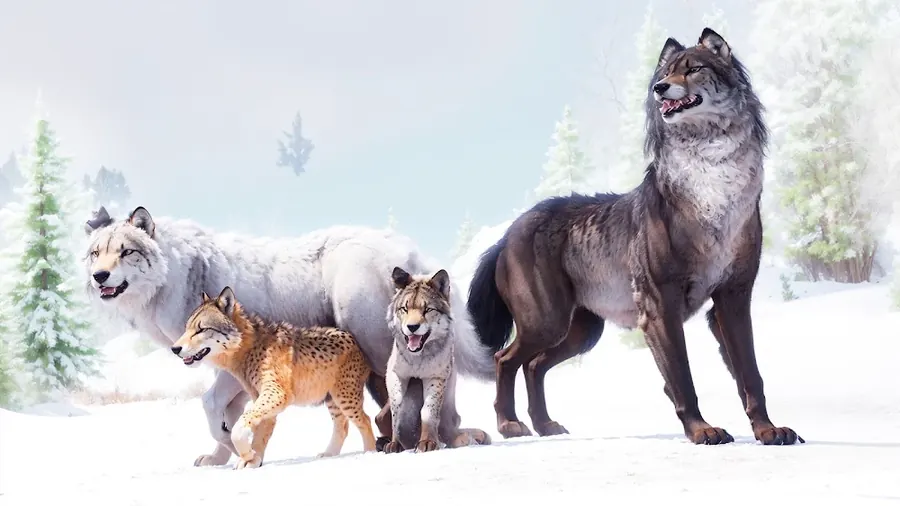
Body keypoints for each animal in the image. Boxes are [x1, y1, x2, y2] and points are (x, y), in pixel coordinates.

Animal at [171, 286, 377, 469]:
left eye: (201, 329)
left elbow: (238, 428)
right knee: (342, 425)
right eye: (187, 329)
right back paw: (329, 454)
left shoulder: (276, 393)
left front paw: (248, 457)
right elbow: (259, 434)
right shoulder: (263, 398)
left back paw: (371, 453)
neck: (247, 348)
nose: (175, 349)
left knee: (365, 420)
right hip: (333, 400)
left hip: (345, 399)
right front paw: (252, 460)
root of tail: (352, 338)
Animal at [382, 267, 492, 454]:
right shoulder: (395, 375)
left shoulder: (435, 377)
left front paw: (427, 442)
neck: (418, 359)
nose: (412, 327)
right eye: (404, 308)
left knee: (452, 430)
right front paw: (395, 444)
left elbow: (428, 412)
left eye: (427, 310)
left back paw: (466, 439)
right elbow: (397, 411)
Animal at [466, 28, 803, 446]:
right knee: (506, 359)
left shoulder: (733, 300)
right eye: (664, 72)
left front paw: (768, 430)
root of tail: (506, 234)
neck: (713, 185)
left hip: (580, 333)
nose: (659, 88)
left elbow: (750, 375)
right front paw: (702, 430)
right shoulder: (659, 306)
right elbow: (681, 377)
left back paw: (545, 425)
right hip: (546, 322)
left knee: (534, 366)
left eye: (693, 68)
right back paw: (509, 424)